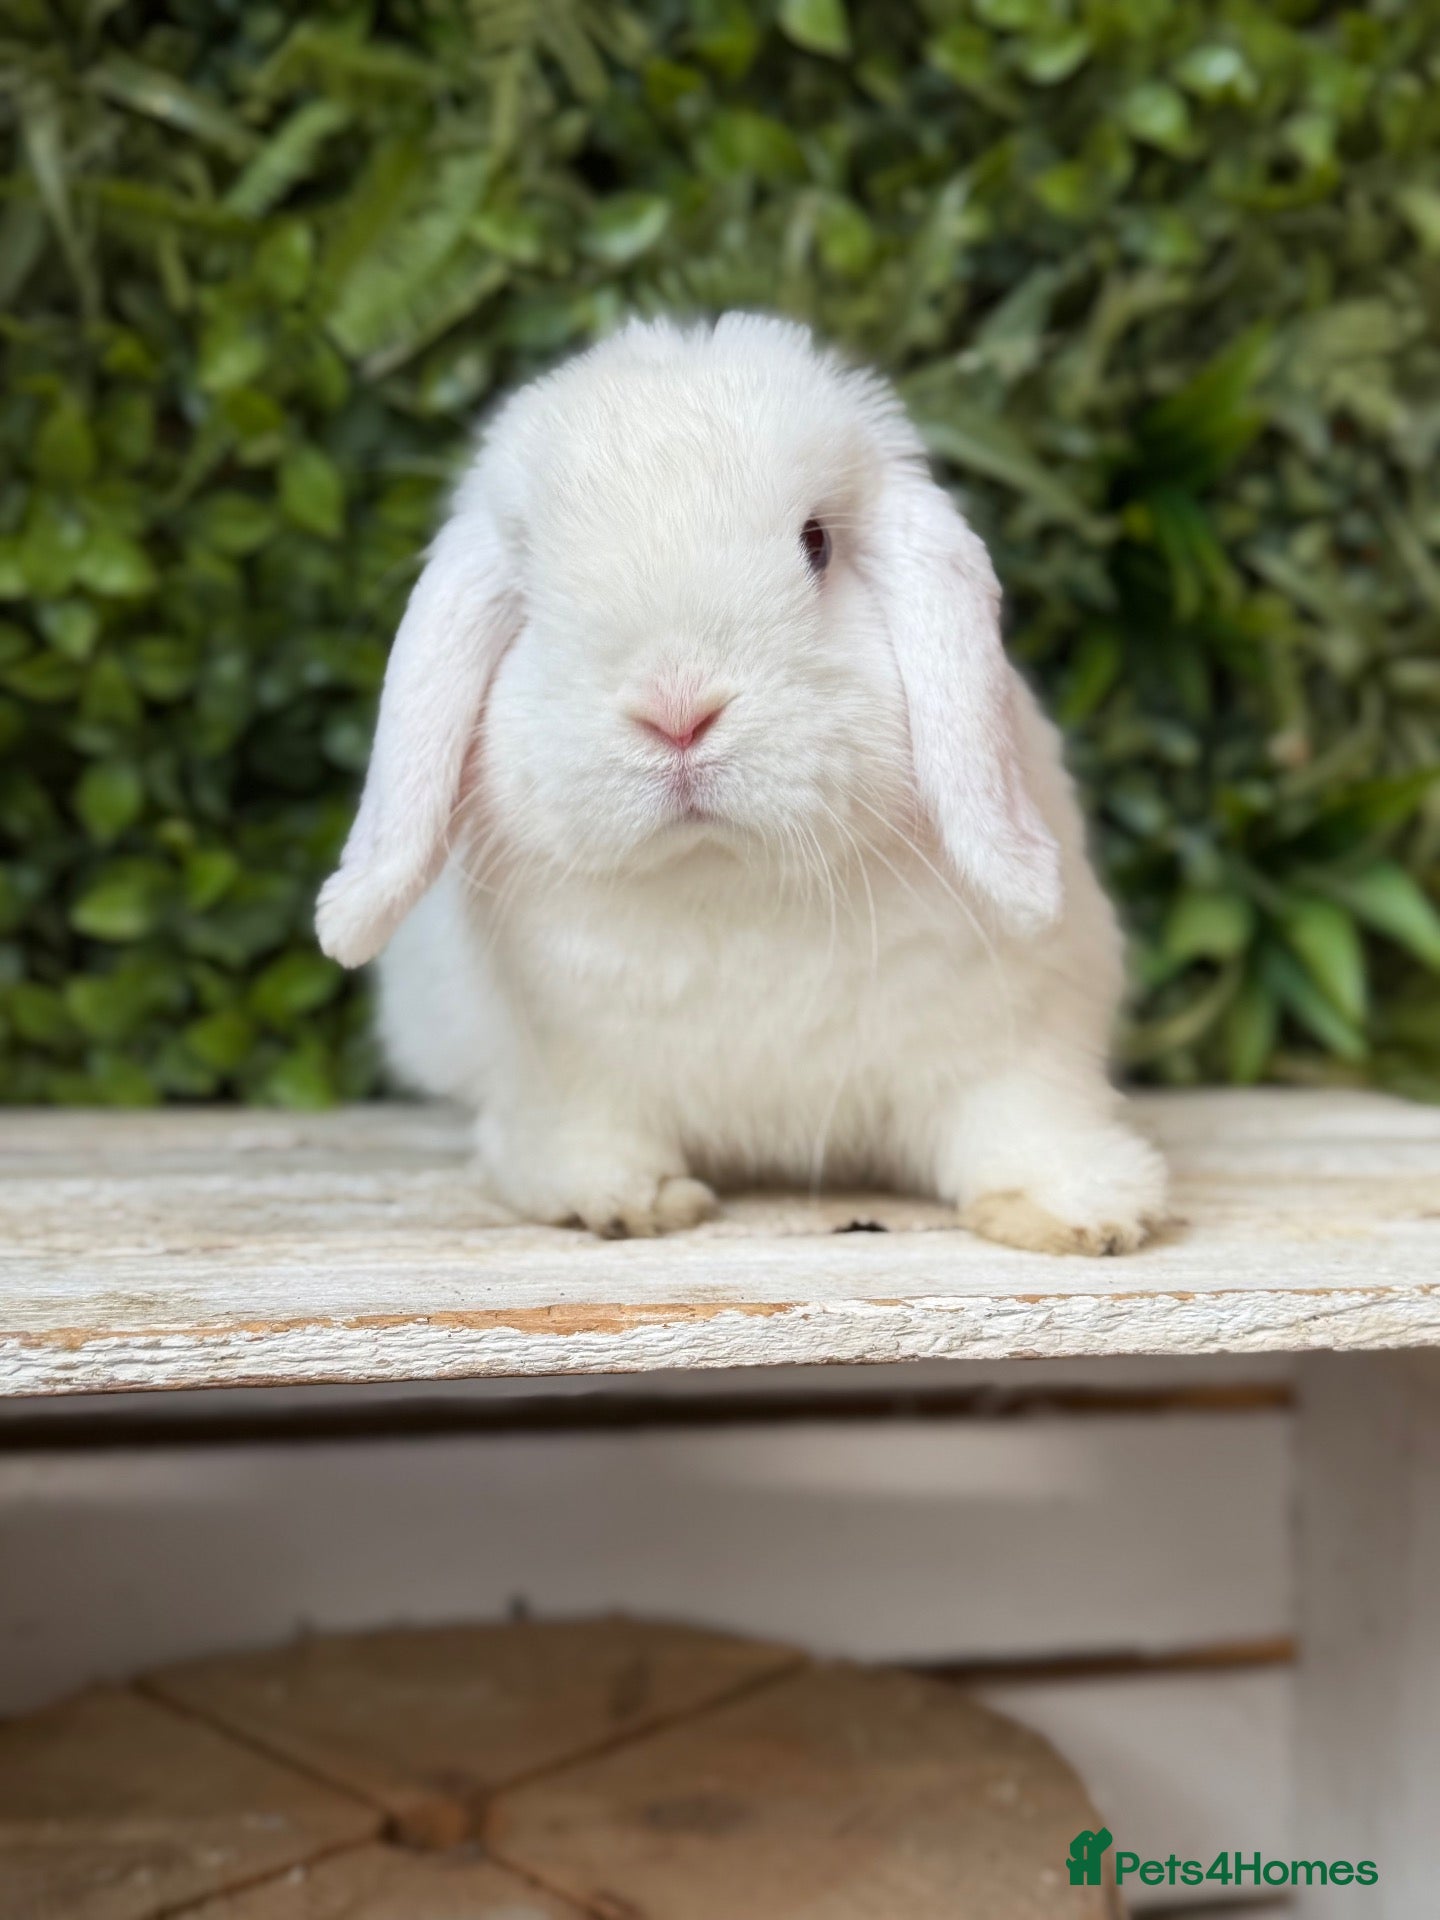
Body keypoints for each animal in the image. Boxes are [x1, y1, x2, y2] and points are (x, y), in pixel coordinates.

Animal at [316, 314, 1167, 1253]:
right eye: (531, 587)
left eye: (815, 543)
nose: (677, 709)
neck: (727, 880)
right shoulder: (564, 1075)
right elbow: (585, 1137)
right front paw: (624, 1199)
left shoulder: (1017, 1036)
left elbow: (1024, 1116)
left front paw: (1085, 1211)